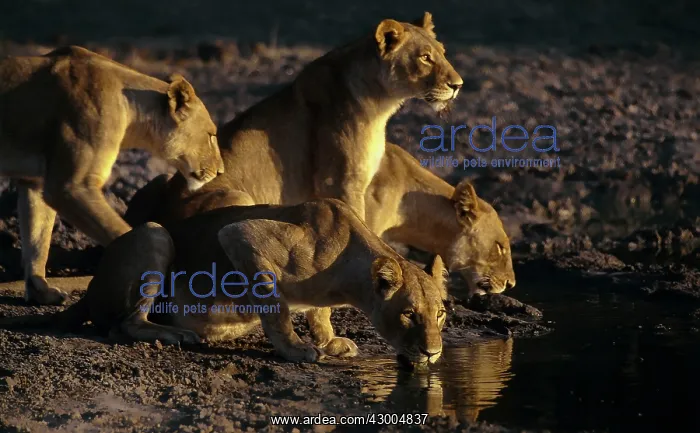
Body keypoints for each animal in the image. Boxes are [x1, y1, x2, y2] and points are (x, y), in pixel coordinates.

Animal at [0, 45, 225, 306]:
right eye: (211, 135)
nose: (220, 171)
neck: (132, 114)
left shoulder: (37, 182)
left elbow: (37, 238)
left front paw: (40, 291)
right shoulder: (71, 187)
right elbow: (122, 232)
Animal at [0, 199, 448, 368]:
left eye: (441, 315)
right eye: (409, 314)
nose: (434, 353)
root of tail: (91, 287)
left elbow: (318, 314)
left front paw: (329, 341)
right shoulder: (242, 235)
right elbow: (276, 306)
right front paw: (296, 349)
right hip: (155, 235)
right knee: (122, 324)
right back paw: (178, 334)